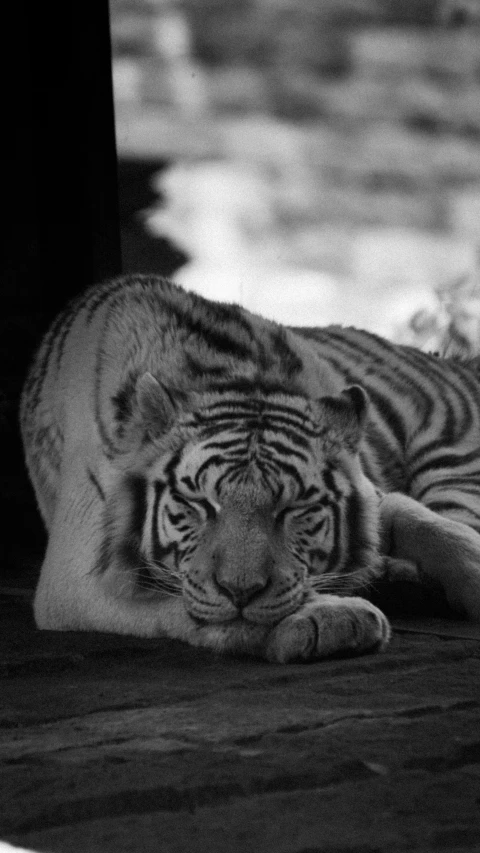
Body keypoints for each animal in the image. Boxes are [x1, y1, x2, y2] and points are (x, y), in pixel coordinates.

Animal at [19, 276, 480, 664]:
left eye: (294, 509)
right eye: (198, 503)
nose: (240, 591)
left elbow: (425, 521)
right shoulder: (78, 573)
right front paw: (333, 618)